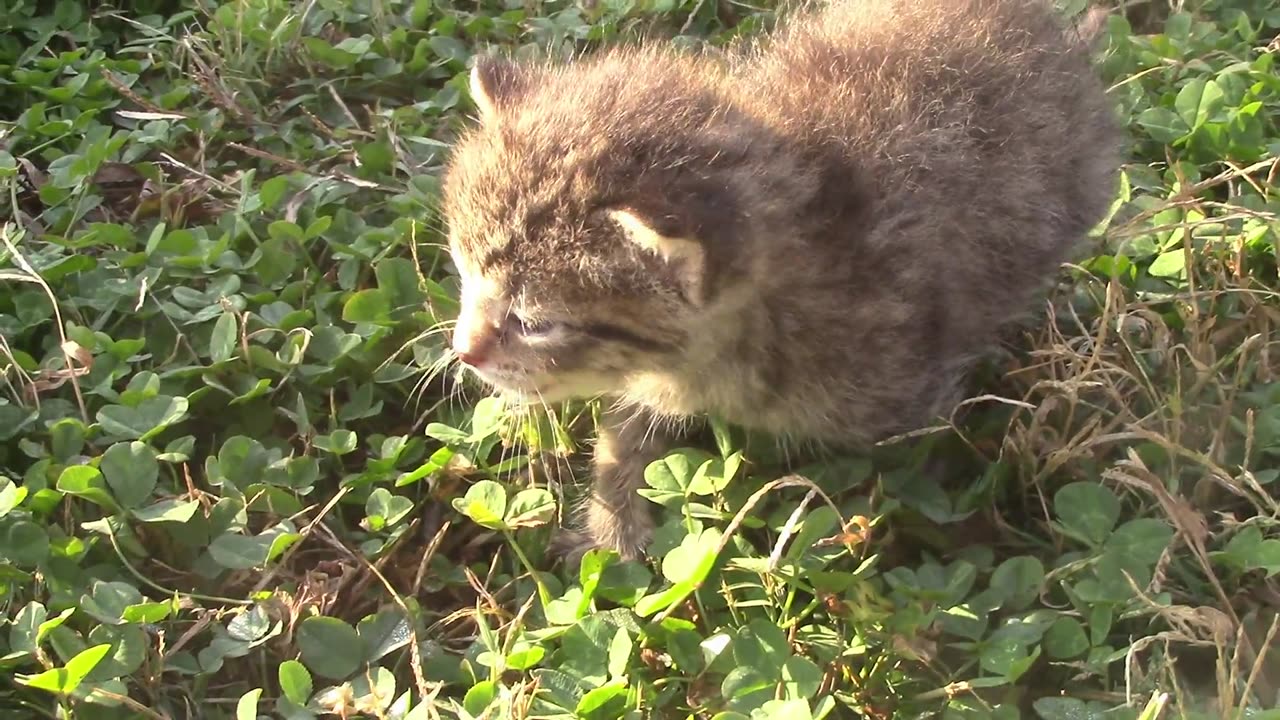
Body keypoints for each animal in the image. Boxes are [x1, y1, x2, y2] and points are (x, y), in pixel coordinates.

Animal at [440, 0, 1121, 561]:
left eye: (535, 322)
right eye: (464, 273)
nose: (462, 351)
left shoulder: (910, 393)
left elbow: (914, 476)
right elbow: (621, 436)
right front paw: (611, 529)